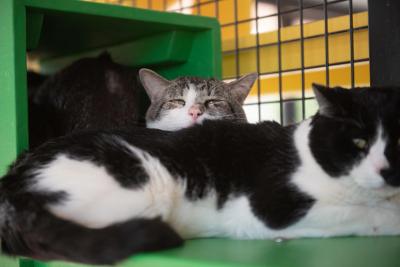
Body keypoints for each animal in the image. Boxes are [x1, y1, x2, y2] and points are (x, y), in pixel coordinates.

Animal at [0, 85, 400, 264]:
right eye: (360, 142)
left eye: (399, 141)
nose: (385, 170)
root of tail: (12, 184)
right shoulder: (269, 207)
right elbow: (370, 215)